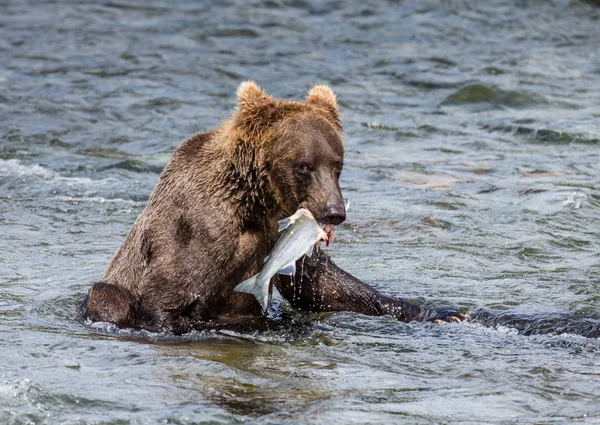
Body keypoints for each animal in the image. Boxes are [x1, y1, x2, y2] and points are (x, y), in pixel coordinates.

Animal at [83, 83, 432, 332]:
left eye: (337, 164)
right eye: (304, 165)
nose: (335, 211)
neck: (255, 203)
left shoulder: (280, 233)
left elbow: (318, 282)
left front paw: (429, 311)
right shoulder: (199, 230)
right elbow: (164, 295)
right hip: (110, 289)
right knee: (106, 295)